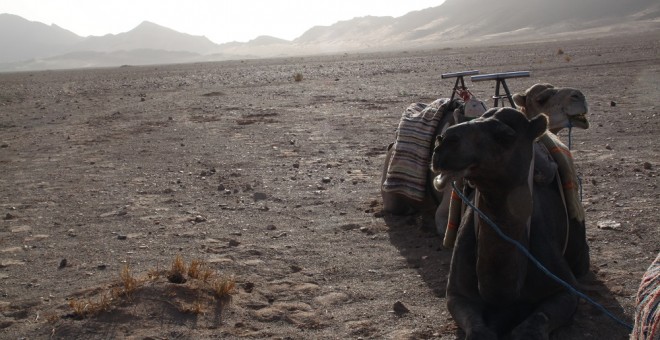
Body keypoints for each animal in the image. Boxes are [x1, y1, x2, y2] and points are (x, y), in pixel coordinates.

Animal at [430, 107, 592, 338]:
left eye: (505, 135)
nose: (444, 142)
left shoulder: (566, 289)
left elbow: (532, 327)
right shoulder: (457, 295)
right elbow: (478, 330)